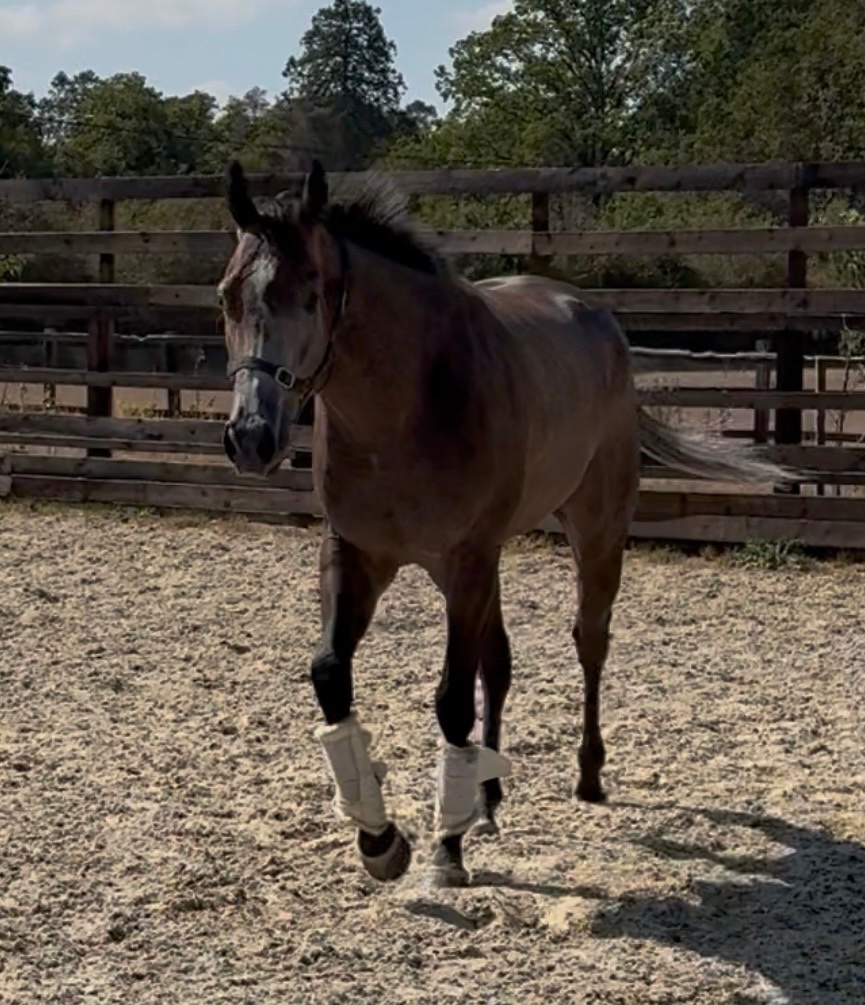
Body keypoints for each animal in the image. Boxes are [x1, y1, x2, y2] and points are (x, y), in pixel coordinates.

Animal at [217, 159, 793, 888]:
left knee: (588, 641)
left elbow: (451, 700)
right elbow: (331, 674)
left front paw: (445, 849)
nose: (250, 438)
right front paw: (382, 840)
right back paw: (486, 800)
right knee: (499, 662)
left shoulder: (467, 557)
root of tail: (593, 316)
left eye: (311, 296)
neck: (404, 406)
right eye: (227, 298)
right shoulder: (356, 554)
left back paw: (585, 777)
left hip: (593, 532)